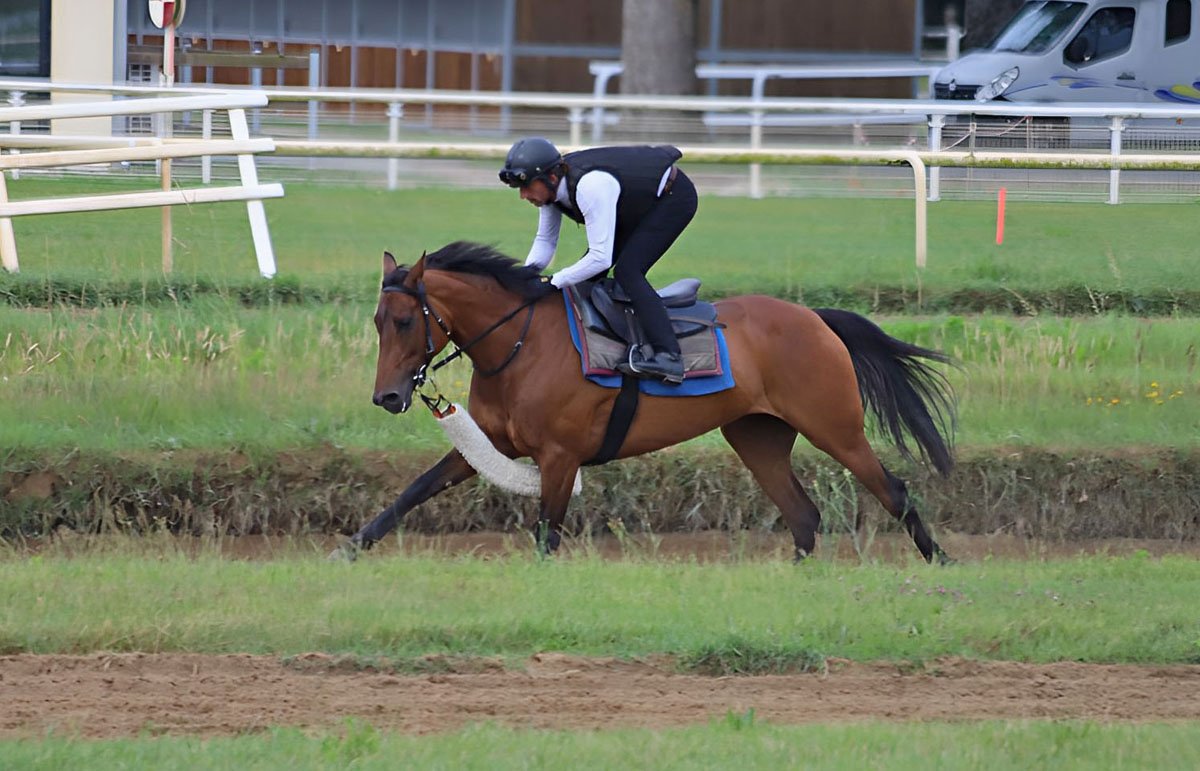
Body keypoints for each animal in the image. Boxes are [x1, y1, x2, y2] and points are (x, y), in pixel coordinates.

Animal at [349, 241, 957, 563]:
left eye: (405, 321)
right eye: (378, 321)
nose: (386, 395)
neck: (519, 344)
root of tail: (815, 317)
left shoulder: (560, 456)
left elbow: (547, 532)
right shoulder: (492, 443)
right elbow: (416, 489)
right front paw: (354, 545)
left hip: (835, 426)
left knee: (893, 492)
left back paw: (941, 563)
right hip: (757, 435)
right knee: (803, 516)